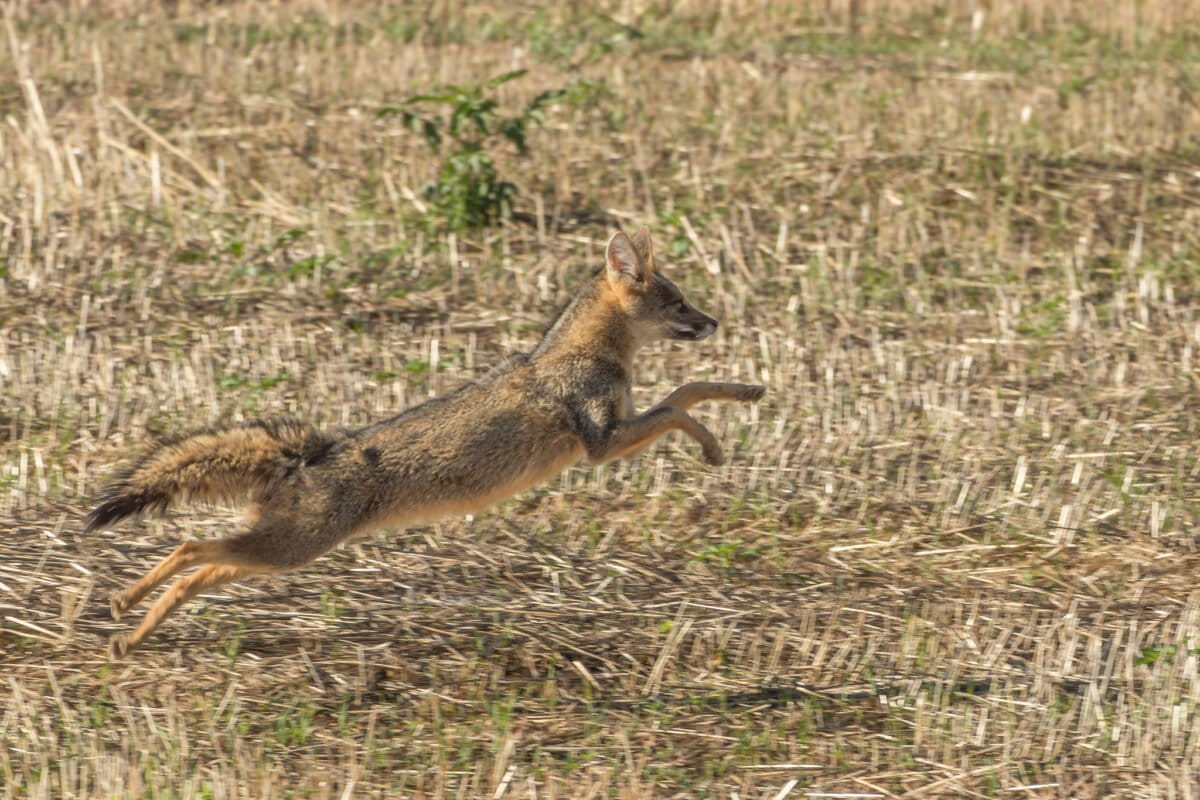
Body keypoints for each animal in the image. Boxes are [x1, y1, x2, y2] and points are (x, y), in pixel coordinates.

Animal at [86, 228, 765, 657]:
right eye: (678, 303)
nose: (713, 322)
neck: (584, 353)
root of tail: (314, 450)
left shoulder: (610, 436)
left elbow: (687, 389)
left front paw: (746, 391)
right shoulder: (602, 442)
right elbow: (678, 400)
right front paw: (713, 442)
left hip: (277, 553)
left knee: (198, 568)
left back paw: (128, 624)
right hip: (289, 549)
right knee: (188, 547)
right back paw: (124, 609)